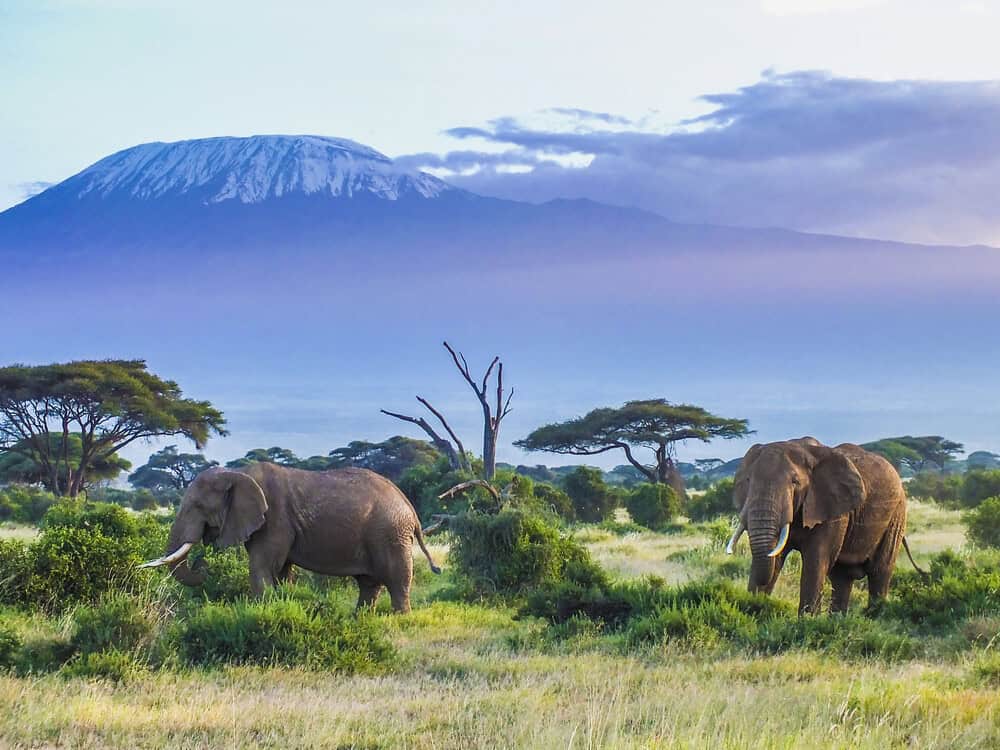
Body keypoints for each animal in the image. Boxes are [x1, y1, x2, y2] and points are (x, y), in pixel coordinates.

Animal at [139, 463, 441, 612]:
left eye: (198, 506)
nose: (203, 564)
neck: (238, 473)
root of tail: (409, 506)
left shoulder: (275, 519)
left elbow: (261, 567)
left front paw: (262, 611)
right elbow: (281, 570)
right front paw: (281, 603)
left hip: (390, 533)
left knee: (396, 580)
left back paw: (400, 618)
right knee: (368, 583)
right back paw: (361, 619)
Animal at [726, 437, 913, 614]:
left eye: (795, 482)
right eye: (748, 480)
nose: (754, 602)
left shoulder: (832, 508)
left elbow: (816, 559)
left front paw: (807, 621)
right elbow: (776, 557)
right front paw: (754, 611)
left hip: (897, 516)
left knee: (879, 572)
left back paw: (875, 615)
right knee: (842, 577)